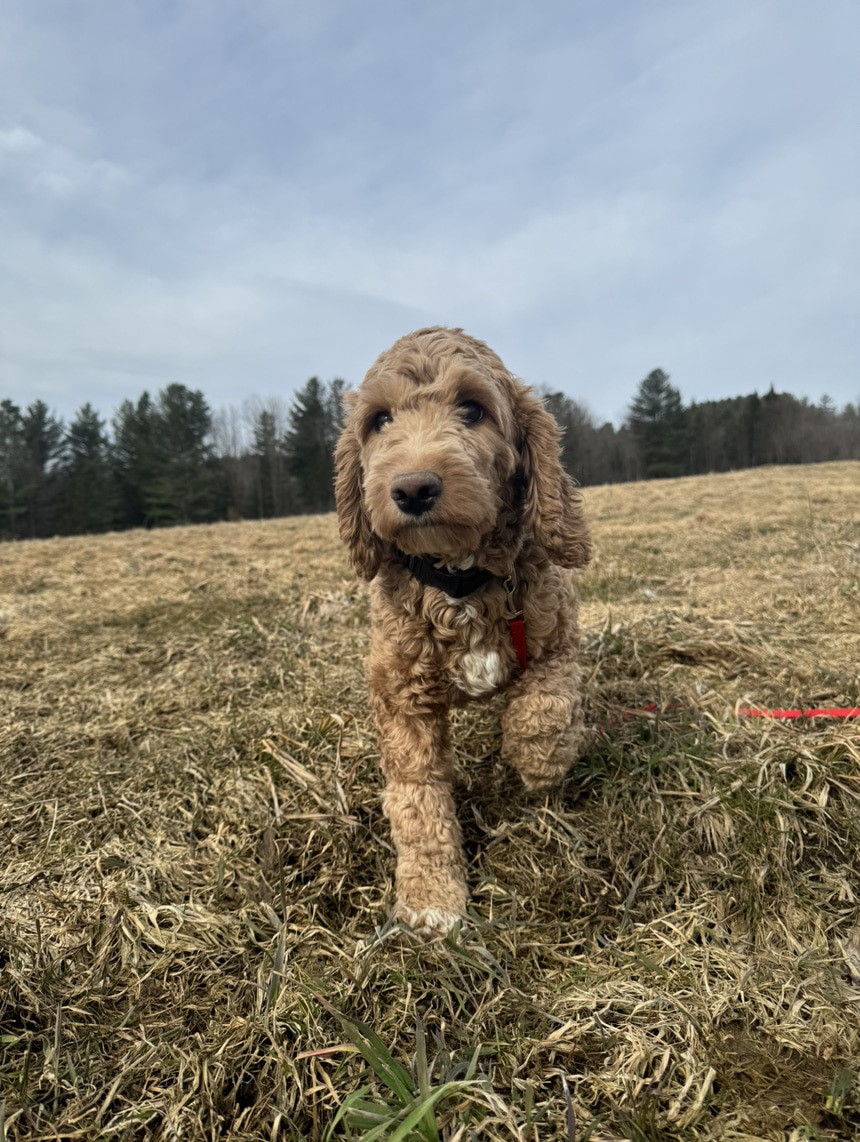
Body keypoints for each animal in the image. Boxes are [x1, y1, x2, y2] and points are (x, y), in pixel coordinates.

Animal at [331, 328, 589, 936]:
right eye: (380, 420)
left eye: (472, 409)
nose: (413, 488)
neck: (459, 582)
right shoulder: (403, 698)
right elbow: (417, 802)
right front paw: (432, 898)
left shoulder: (557, 638)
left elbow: (543, 709)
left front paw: (538, 767)